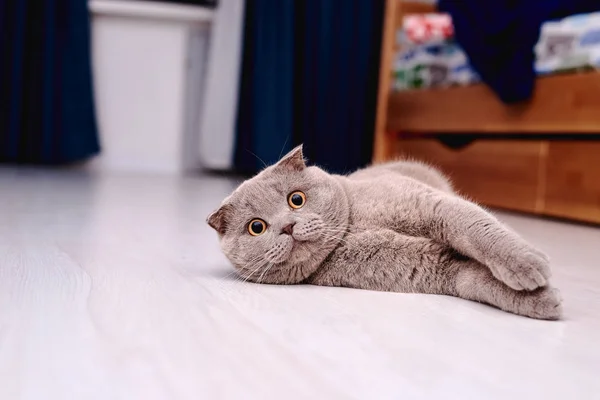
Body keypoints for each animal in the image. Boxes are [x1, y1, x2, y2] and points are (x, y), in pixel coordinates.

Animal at [207, 145, 564, 320]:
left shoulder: (429, 205)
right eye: (257, 227)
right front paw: (540, 299)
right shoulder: (425, 265)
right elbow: (470, 277)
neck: (352, 228)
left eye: (296, 199)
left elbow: (476, 227)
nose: (287, 226)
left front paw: (527, 265)